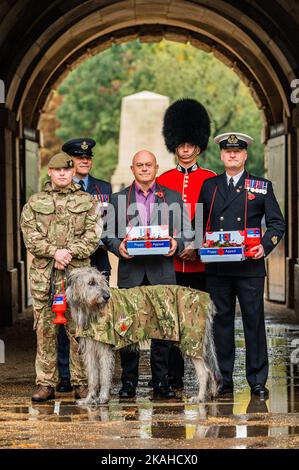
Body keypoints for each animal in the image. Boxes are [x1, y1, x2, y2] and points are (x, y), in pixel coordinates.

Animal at [66, 268, 220, 404]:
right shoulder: (90, 349)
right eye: (91, 282)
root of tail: (206, 299)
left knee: (205, 372)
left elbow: (104, 375)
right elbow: (92, 377)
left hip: (192, 341)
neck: (90, 310)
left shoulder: (105, 347)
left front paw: (103, 398)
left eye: (103, 281)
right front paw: (89, 399)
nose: (106, 297)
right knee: (210, 371)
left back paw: (199, 398)